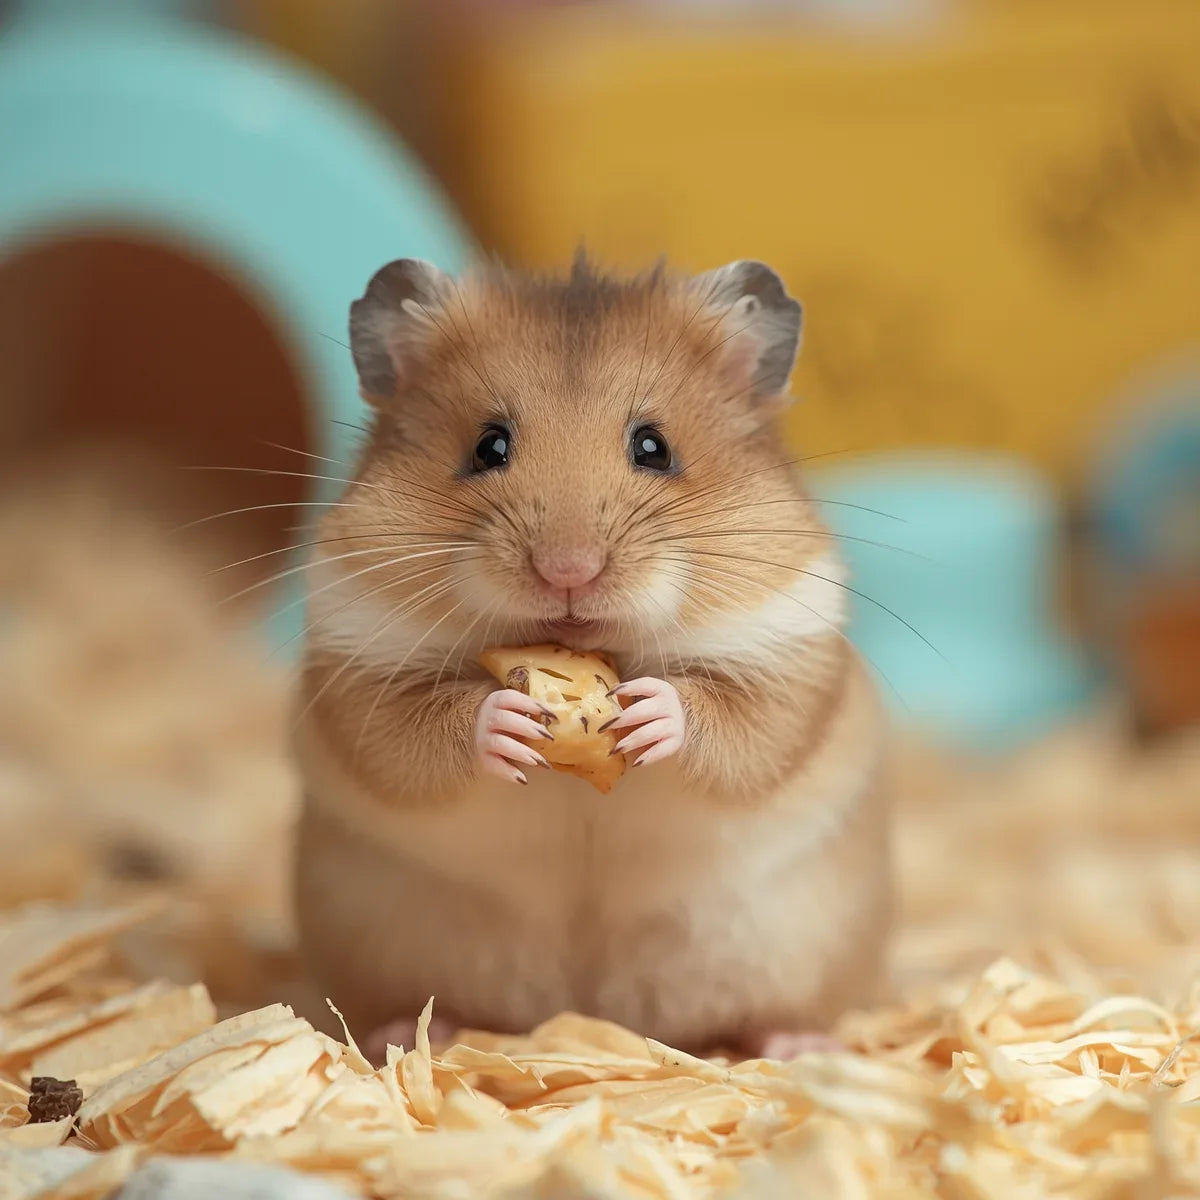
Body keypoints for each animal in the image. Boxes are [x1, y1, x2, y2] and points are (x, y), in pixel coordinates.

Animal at [293, 253, 893, 1061]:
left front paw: (645, 711)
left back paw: (797, 1047)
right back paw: (412, 1033)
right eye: (488, 446)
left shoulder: (788, 656)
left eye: (654, 447)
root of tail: (588, 1006)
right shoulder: (356, 659)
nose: (567, 571)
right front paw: (510, 719)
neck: (593, 647)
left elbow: (736, 719)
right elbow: (415, 728)